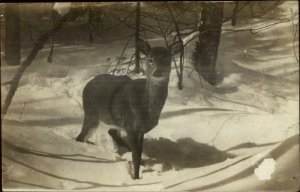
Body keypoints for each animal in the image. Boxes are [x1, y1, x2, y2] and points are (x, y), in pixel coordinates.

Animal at [75, 39, 178, 179]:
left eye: (166, 58)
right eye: (150, 59)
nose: (157, 72)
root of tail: (88, 84)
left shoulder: (141, 129)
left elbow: (138, 153)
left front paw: (139, 170)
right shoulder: (130, 125)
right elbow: (136, 156)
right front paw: (136, 178)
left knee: (111, 132)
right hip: (91, 113)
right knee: (80, 137)